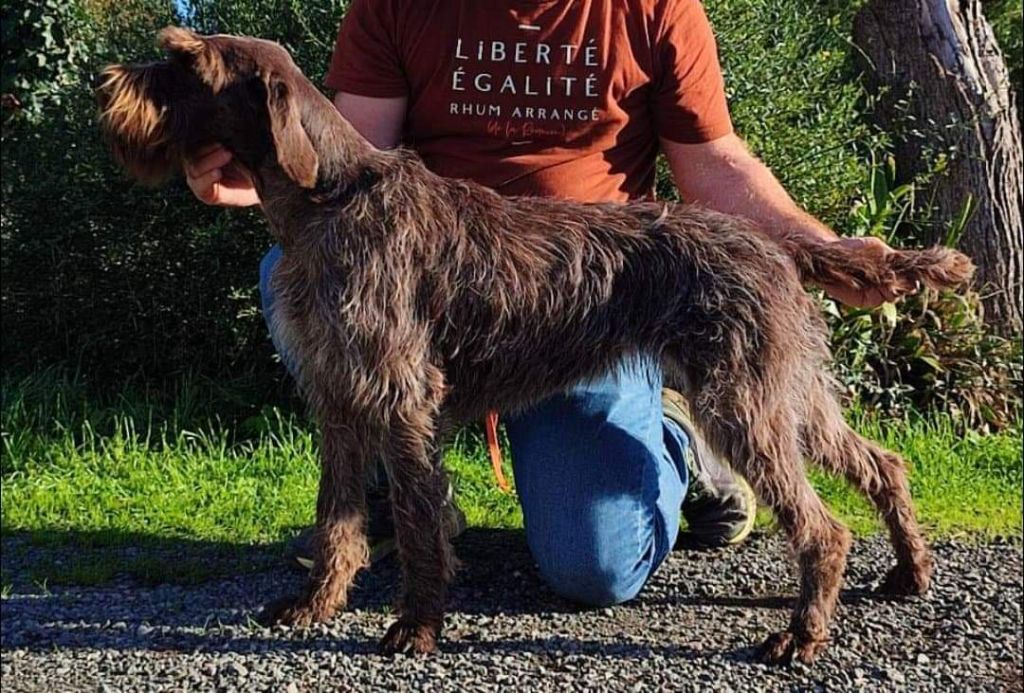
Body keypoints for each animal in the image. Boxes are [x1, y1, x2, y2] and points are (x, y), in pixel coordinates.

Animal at [96, 29, 974, 663]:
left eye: (183, 63)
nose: (105, 85)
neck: (324, 202)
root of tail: (773, 243)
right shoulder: (341, 400)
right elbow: (338, 516)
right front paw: (317, 604)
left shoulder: (400, 399)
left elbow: (418, 520)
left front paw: (417, 627)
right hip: (788, 398)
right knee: (883, 463)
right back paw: (908, 570)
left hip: (744, 405)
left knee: (823, 528)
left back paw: (801, 633)